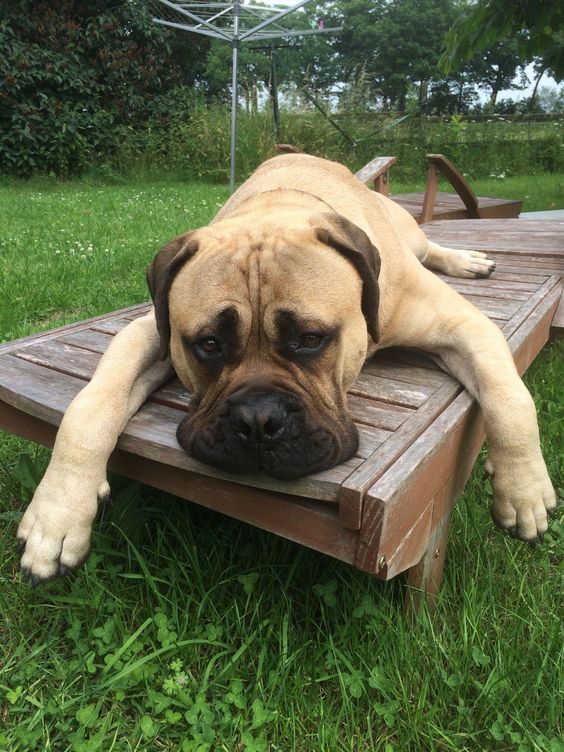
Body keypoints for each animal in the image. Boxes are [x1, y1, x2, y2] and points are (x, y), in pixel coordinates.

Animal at [15, 156, 556, 584]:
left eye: (311, 340)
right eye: (208, 345)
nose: (258, 420)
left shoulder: (464, 324)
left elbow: (510, 398)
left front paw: (523, 490)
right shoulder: (149, 331)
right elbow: (89, 408)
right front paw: (57, 514)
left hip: (409, 234)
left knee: (429, 248)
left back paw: (466, 259)